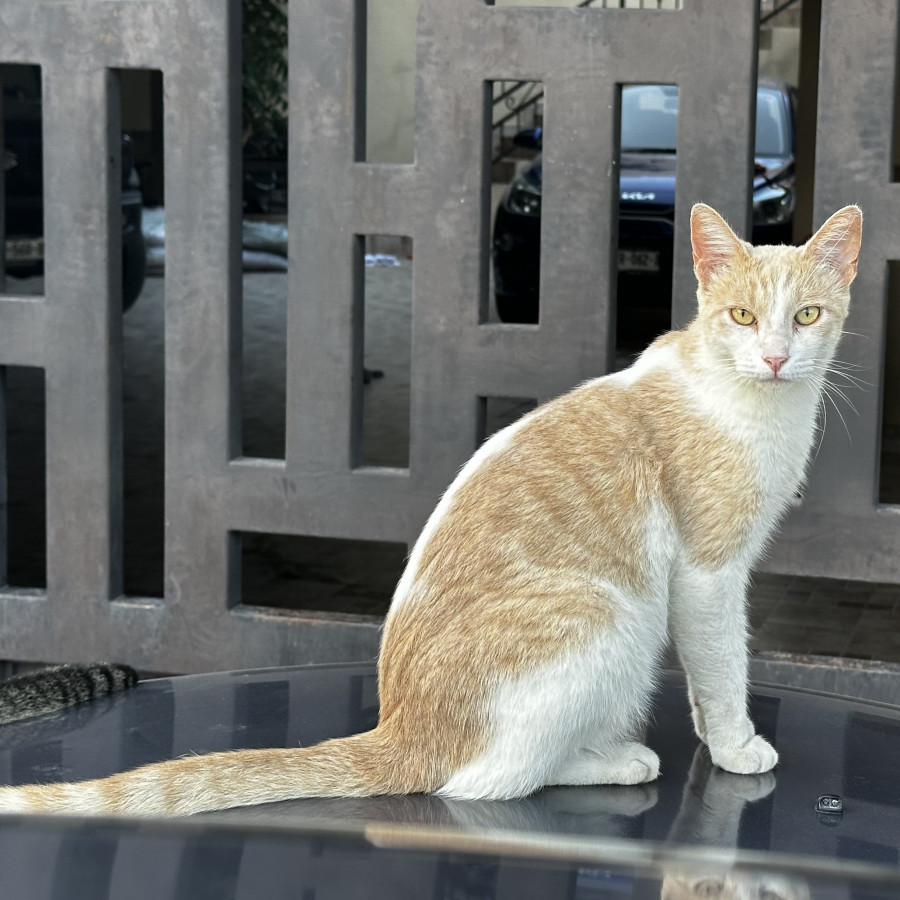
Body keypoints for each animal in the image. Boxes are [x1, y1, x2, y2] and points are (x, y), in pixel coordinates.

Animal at [0, 202, 864, 816]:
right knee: (485, 781)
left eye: (807, 316)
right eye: (743, 317)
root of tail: (400, 730)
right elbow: (723, 665)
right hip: (609, 614)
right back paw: (614, 759)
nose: (776, 358)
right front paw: (736, 744)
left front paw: (719, 737)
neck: (750, 401)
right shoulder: (709, 574)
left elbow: (711, 671)